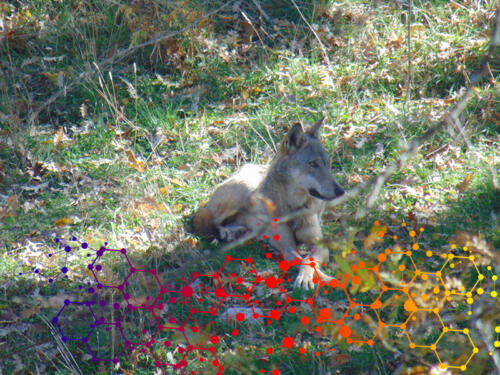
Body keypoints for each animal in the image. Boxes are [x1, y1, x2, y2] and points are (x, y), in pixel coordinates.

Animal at [193, 118, 346, 290]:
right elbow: (303, 261)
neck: (293, 209)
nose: (341, 190)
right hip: (241, 195)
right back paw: (225, 232)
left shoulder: (319, 243)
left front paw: (323, 278)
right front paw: (319, 278)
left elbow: (309, 260)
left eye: (327, 164)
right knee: (207, 221)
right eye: (312, 164)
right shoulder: (287, 246)